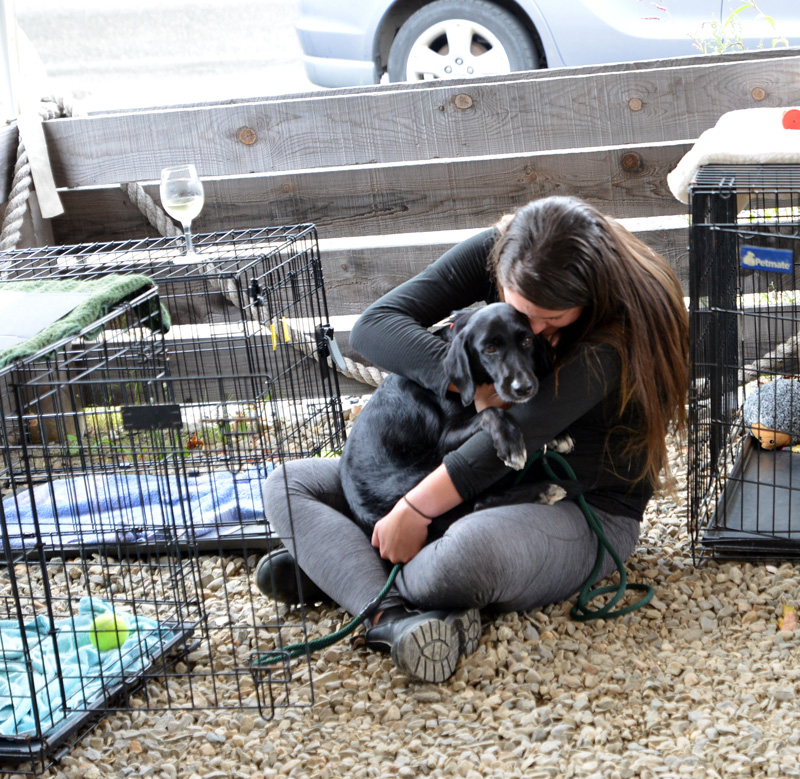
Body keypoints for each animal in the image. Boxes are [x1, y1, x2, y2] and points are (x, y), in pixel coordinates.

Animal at [340, 302, 564, 532]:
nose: (524, 388)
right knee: (478, 502)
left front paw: (559, 436)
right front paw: (511, 442)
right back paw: (543, 490)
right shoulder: (445, 439)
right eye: (490, 349)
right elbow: (492, 412)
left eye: (527, 340)